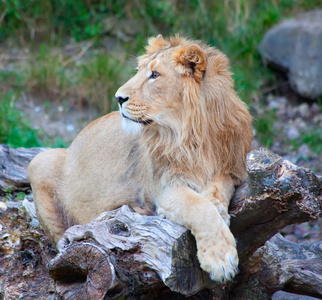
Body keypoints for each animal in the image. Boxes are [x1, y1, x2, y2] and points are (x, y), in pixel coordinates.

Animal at [28, 34, 254, 282]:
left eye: (155, 75)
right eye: (138, 71)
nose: (118, 97)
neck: (195, 134)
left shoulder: (232, 168)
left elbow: (219, 187)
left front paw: (218, 206)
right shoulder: (165, 188)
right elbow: (200, 209)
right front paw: (220, 260)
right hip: (40, 161)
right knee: (60, 243)